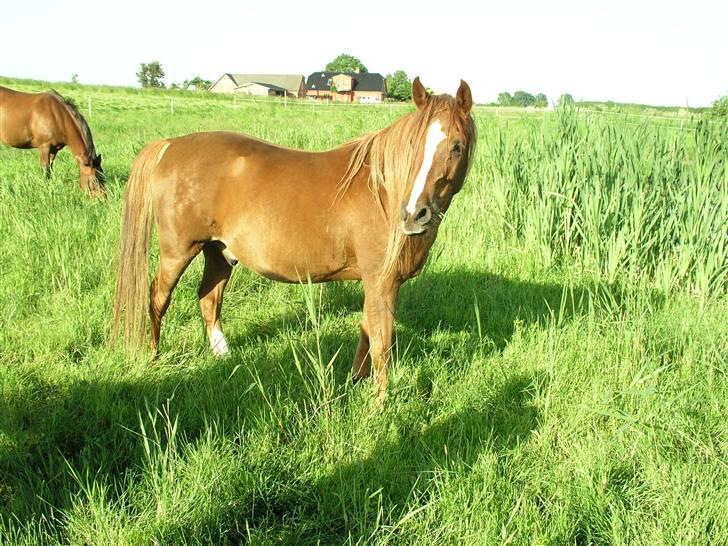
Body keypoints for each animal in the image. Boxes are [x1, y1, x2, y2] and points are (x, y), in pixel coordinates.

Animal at [113, 77, 474, 392]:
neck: (384, 190)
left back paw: (224, 357)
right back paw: (153, 355)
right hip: (178, 251)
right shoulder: (381, 282)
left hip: (219, 252)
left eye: (457, 147)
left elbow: (366, 333)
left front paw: (355, 382)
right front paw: (380, 405)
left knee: (208, 298)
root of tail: (169, 145)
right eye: (413, 144)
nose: (414, 214)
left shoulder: (375, 284)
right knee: (157, 297)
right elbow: (381, 343)